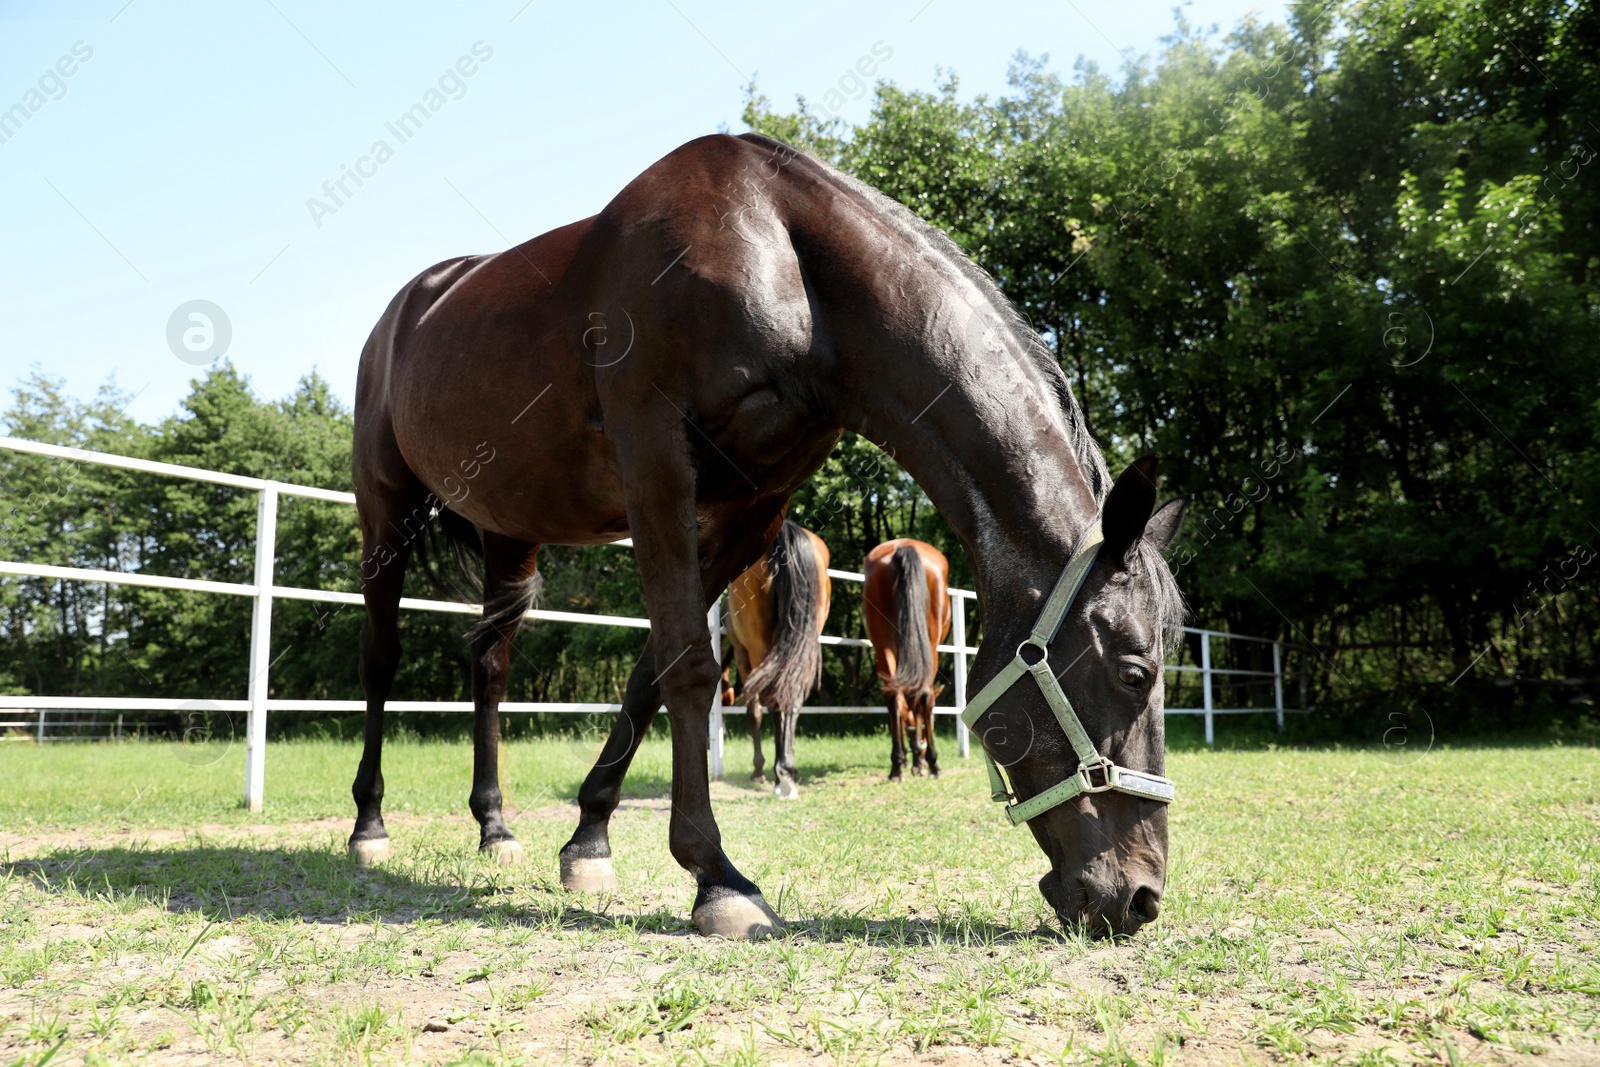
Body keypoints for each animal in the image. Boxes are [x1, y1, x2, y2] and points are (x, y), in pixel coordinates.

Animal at [732, 518, 838, 799]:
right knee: (792, 698)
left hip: (760, 648)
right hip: (805, 642)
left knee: (774, 701)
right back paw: (787, 772)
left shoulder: (742, 656)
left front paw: (760, 770)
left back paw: (783, 776)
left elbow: (755, 712)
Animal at [864, 543, 947, 783]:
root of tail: (904, 546)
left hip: (883, 644)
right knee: (924, 696)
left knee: (895, 697)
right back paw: (932, 763)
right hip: (930, 643)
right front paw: (920, 761)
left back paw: (896, 766)